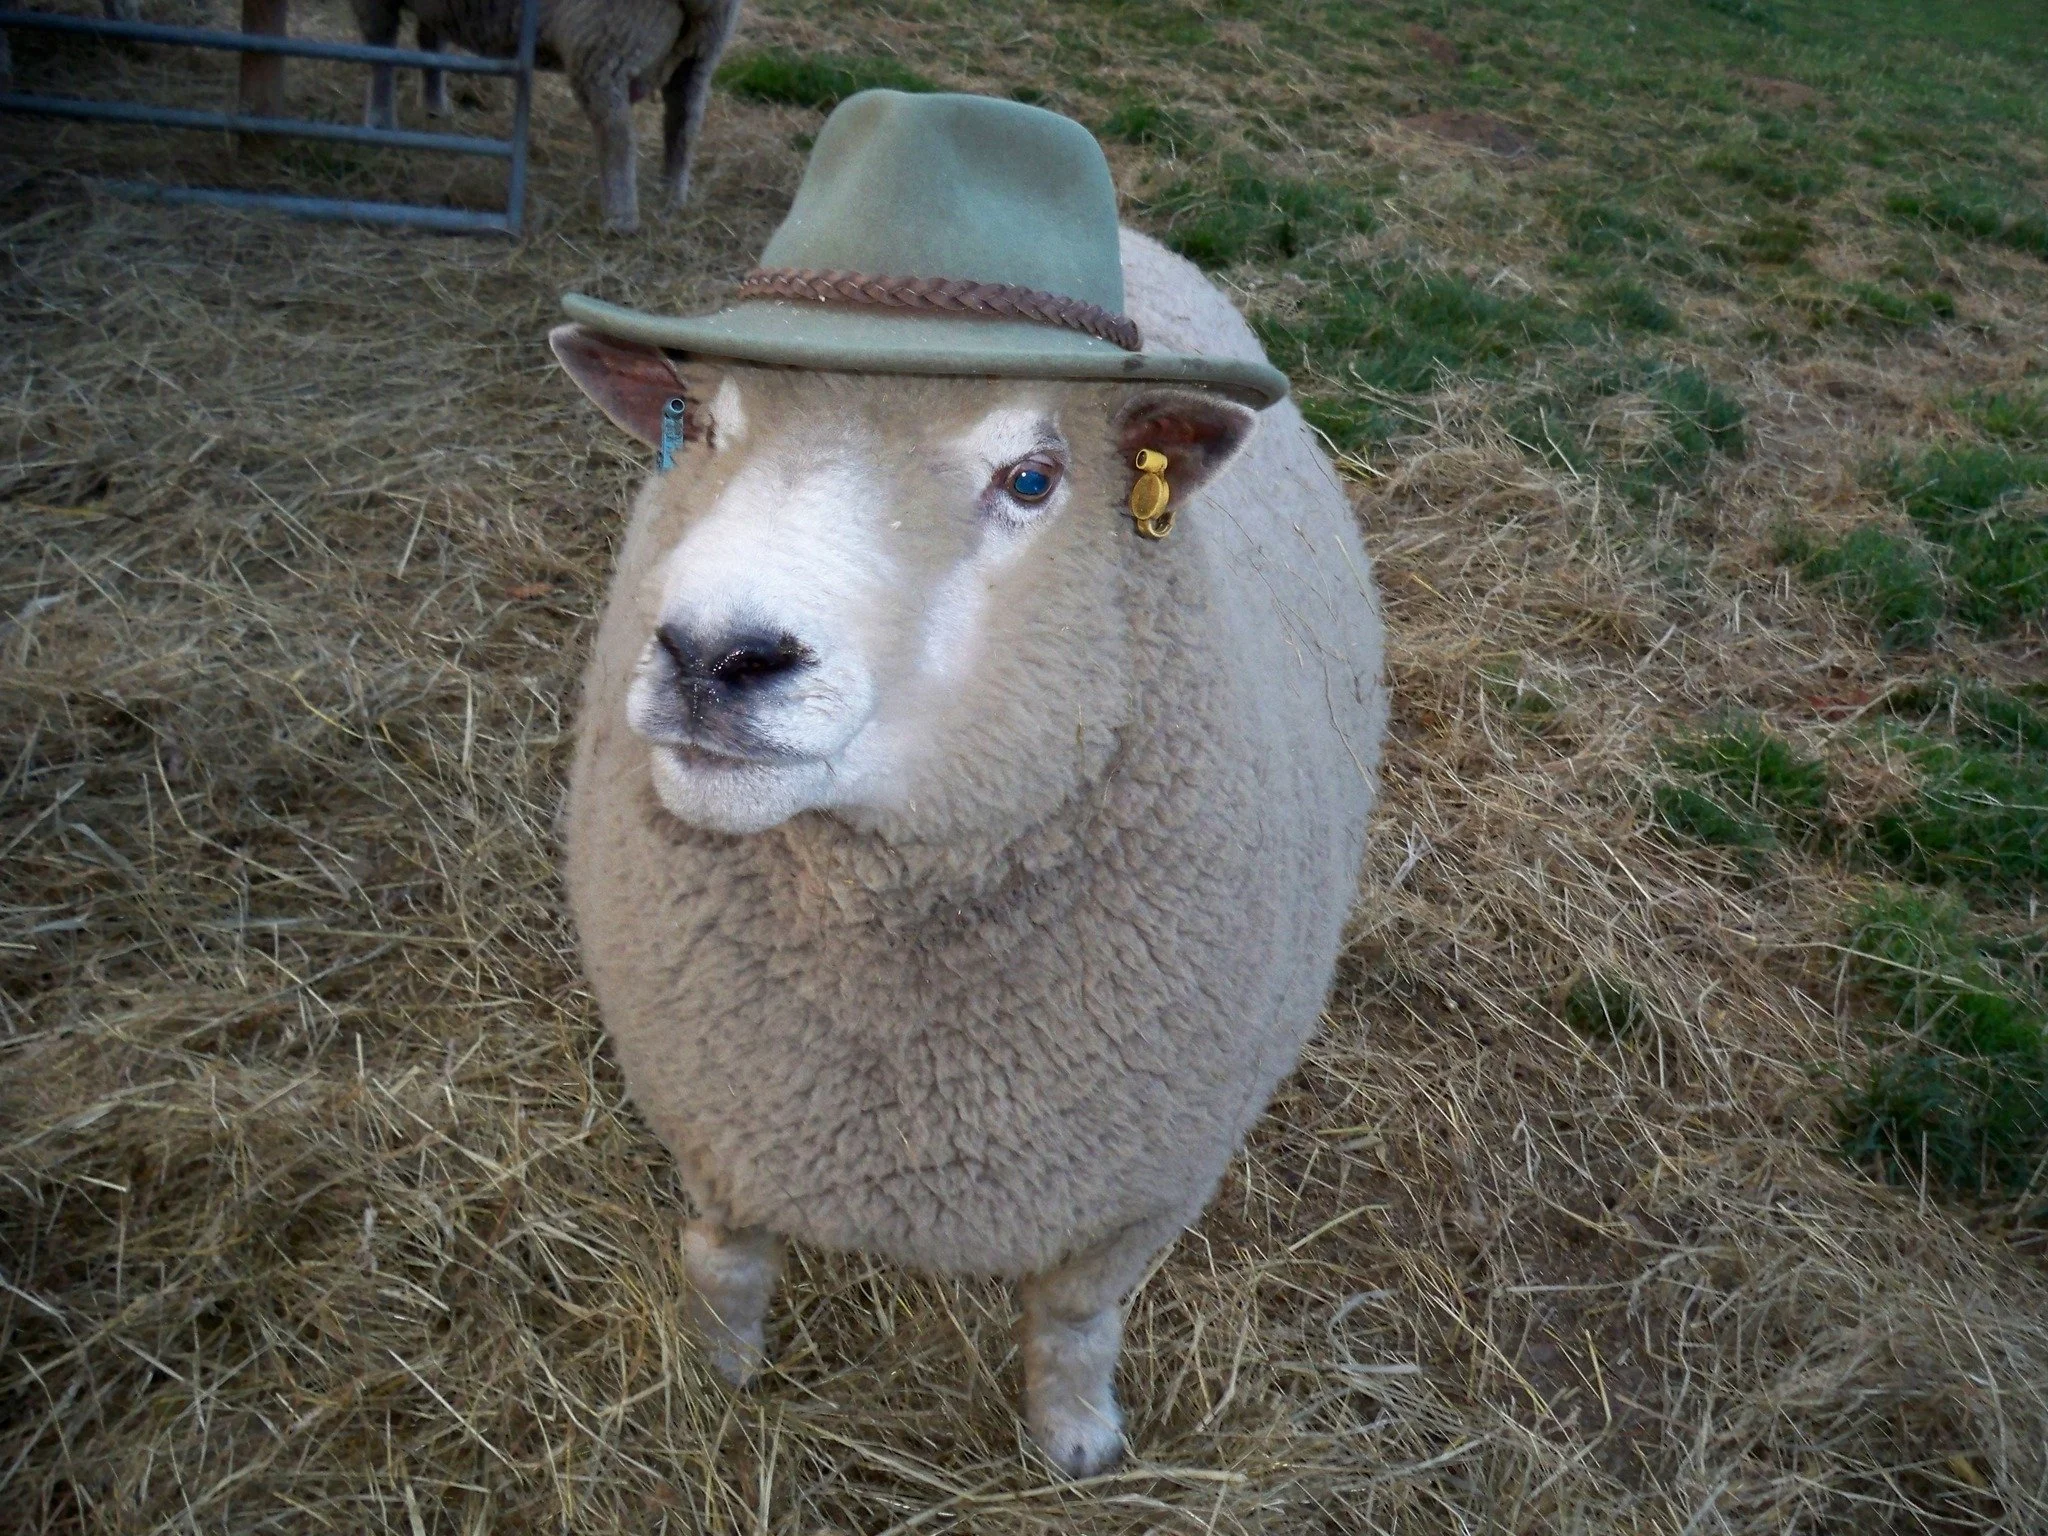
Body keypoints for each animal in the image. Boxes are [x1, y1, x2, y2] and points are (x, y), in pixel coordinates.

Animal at [348, 0, 741, 232]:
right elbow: (430, 40)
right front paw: (432, 106)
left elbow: (381, 45)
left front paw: (379, 124)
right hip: (701, 51)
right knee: (684, 125)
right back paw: (670, 201)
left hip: (604, 36)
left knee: (617, 135)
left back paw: (621, 219)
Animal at [548, 227, 1386, 1475]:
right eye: (697, 427)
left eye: (1031, 479)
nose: (710, 653)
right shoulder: (714, 1110)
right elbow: (725, 1262)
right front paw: (720, 1374)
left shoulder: (1142, 1185)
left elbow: (1076, 1318)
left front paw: (1075, 1439)